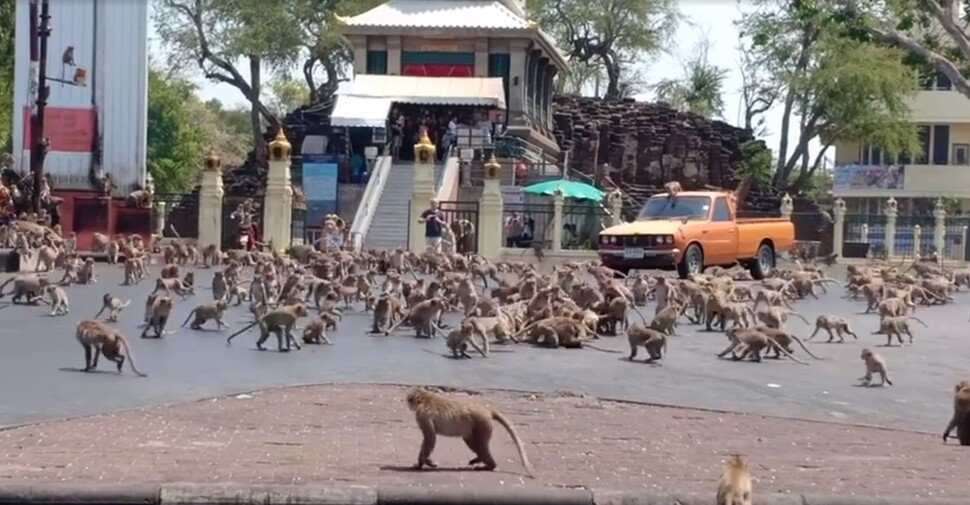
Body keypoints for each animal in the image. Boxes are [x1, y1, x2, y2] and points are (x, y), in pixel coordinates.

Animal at [402, 386, 532, 476]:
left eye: (409, 400)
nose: (408, 403)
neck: (426, 398)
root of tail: (486, 410)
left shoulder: (423, 415)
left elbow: (430, 438)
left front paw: (420, 464)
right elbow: (430, 439)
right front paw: (428, 462)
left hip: (482, 424)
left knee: (480, 445)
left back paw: (490, 465)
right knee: (470, 441)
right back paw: (479, 460)